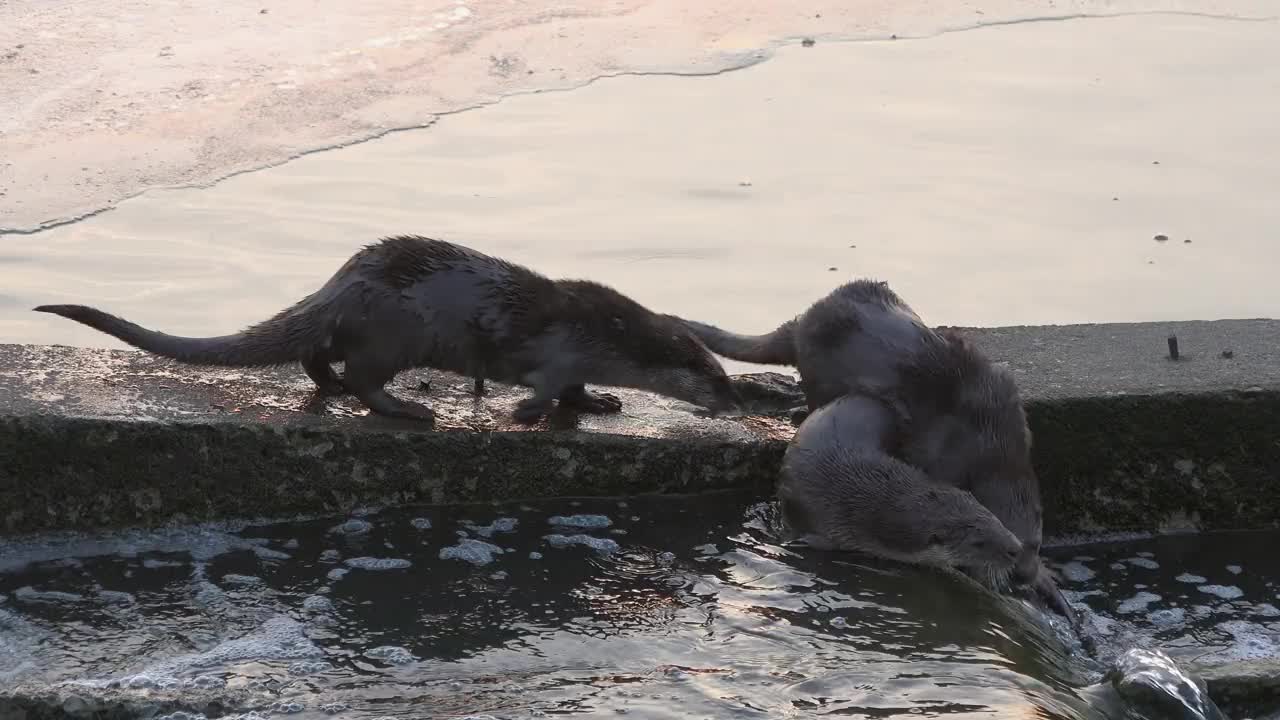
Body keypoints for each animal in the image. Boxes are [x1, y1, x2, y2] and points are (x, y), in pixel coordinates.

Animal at [35, 233, 742, 422]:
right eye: (717, 378)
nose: (736, 403)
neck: (608, 335)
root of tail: (340, 284)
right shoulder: (560, 352)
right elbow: (544, 390)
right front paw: (524, 415)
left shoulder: (581, 359)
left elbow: (576, 393)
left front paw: (601, 402)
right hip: (395, 331)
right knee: (363, 376)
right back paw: (407, 411)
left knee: (318, 360)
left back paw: (334, 392)